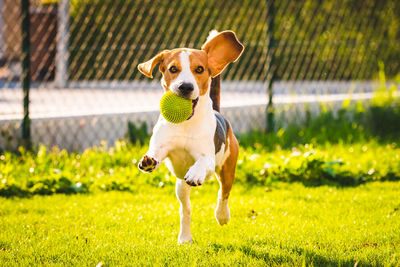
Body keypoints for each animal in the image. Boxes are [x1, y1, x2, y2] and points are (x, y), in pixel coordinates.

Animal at [138, 30, 244, 244]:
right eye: (173, 69)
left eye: (200, 69)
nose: (185, 87)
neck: (185, 123)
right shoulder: (162, 145)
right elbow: (156, 152)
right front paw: (148, 160)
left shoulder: (208, 158)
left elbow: (202, 163)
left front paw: (195, 174)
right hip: (180, 186)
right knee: (185, 209)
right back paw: (185, 237)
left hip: (227, 169)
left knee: (223, 193)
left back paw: (222, 215)